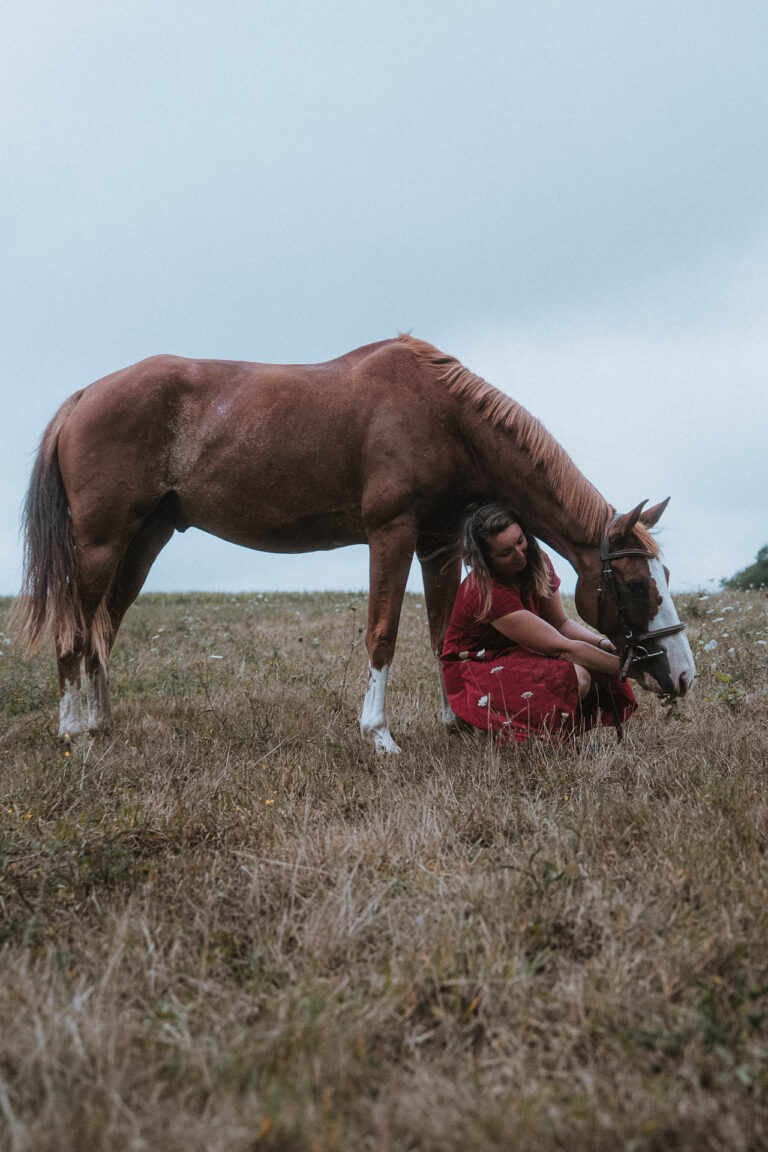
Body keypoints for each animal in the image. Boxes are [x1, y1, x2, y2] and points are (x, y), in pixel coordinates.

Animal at [15, 334, 695, 752]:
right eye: (636, 584)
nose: (684, 676)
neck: (441, 416)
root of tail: (84, 397)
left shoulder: (439, 543)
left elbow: (441, 633)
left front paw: (456, 723)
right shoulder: (390, 534)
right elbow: (384, 633)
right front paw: (379, 735)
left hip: (143, 541)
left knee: (103, 628)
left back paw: (101, 724)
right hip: (100, 544)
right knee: (75, 629)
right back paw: (74, 732)